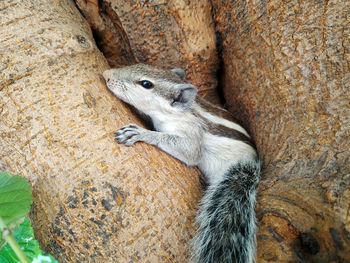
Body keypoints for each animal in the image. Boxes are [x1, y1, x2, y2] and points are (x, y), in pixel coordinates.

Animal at [102, 64, 260, 263]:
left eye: (146, 84)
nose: (106, 74)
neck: (180, 112)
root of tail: (252, 166)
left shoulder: (192, 133)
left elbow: (188, 152)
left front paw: (144, 134)